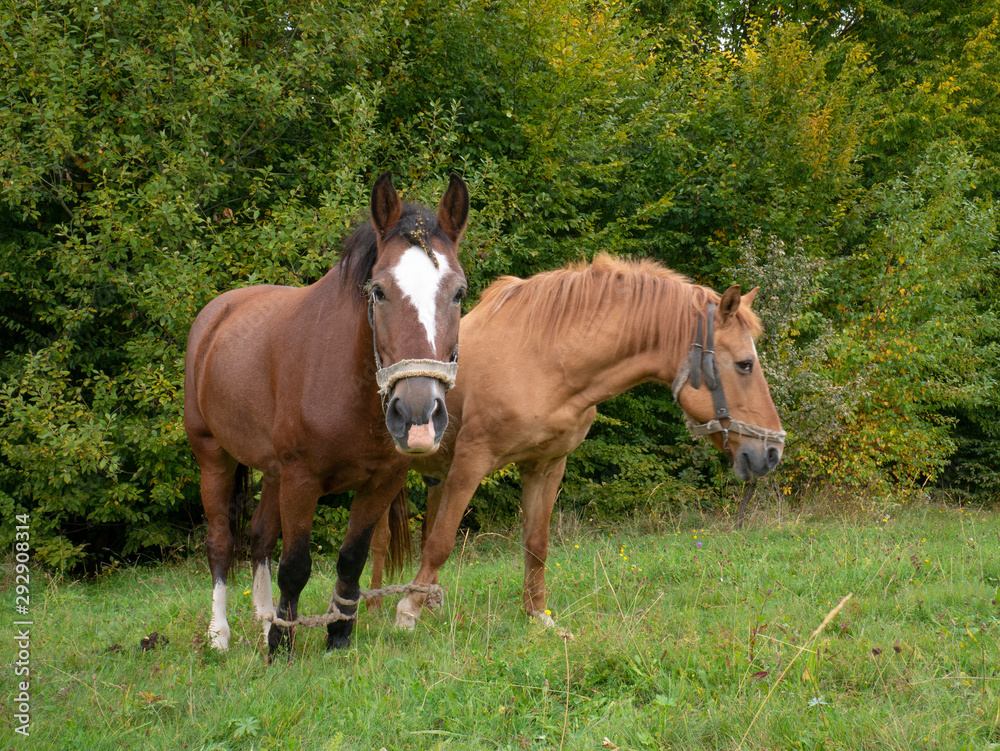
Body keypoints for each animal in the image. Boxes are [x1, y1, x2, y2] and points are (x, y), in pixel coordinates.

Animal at [183, 172, 468, 652]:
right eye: (379, 291)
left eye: (459, 292)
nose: (416, 414)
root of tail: (216, 314)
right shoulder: (302, 480)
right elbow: (295, 566)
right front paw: (281, 646)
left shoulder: (380, 482)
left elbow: (351, 559)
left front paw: (336, 634)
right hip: (213, 458)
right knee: (221, 542)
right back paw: (219, 635)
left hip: (272, 472)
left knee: (259, 537)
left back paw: (264, 618)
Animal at [372, 256, 784, 632]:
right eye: (745, 364)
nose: (772, 452)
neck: (543, 360)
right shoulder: (471, 463)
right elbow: (441, 541)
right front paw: (406, 612)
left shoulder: (546, 466)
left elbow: (536, 544)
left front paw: (538, 614)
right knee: (380, 542)